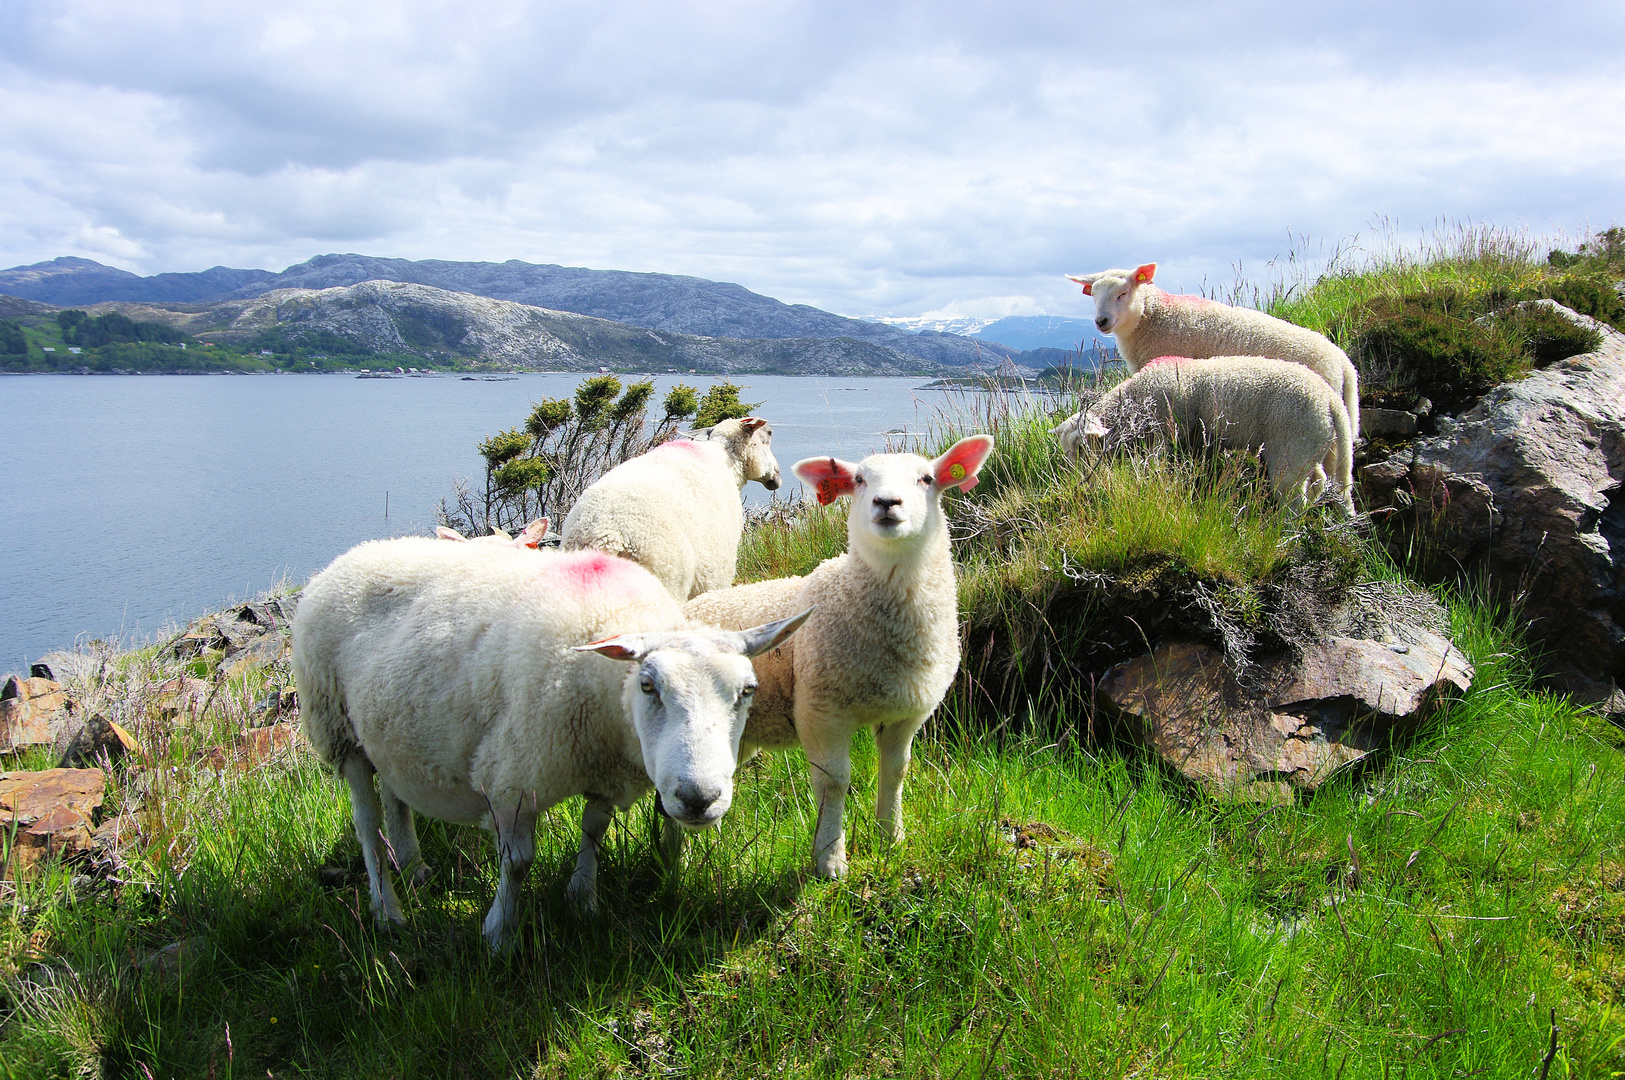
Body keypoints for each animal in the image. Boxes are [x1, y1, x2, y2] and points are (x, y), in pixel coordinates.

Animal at [294, 535, 812, 948]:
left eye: (747, 690)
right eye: (648, 686)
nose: (699, 798)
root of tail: (351, 556)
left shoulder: (603, 769)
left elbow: (594, 830)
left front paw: (582, 898)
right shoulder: (512, 778)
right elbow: (517, 863)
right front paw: (499, 933)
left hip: (389, 731)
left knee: (396, 797)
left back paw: (414, 867)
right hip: (338, 729)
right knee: (366, 824)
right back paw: (388, 909)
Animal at [562, 414, 783, 597]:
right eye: (768, 435)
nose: (778, 476)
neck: (728, 462)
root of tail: (608, 535)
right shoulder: (716, 573)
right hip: (667, 574)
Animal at [682, 428, 994, 876]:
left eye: (926, 479)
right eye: (860, 480)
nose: (887, 503)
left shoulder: (907, 712)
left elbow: (895, 771)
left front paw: (891, 837)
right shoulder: (821, 712)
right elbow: (834, 782)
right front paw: (830, 859)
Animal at [1046, 349, 1352, 509]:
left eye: (1081, 447)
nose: (1075, 478)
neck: (1136, 400)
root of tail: (1331, 400)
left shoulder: (1167, 434)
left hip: (1292, 446)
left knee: (1293, 499)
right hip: (1309, 446)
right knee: (1318, 482)